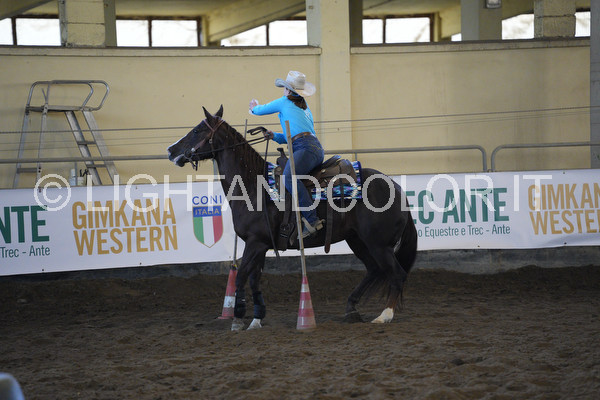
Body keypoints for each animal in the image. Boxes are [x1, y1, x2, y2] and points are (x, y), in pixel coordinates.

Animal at [167, 106, 417, 331]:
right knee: (374, 269)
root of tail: (397, 188)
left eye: (198, 130)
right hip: (357, 240)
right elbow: (254, 279)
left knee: (396, 274)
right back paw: (351, 309)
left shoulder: (255, 242)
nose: (171, 150)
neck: (254, 186)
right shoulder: (259, 244)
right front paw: (256, 318)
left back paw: (384, 316)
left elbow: (241, 277)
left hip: (378, 244)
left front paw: (238, 318)